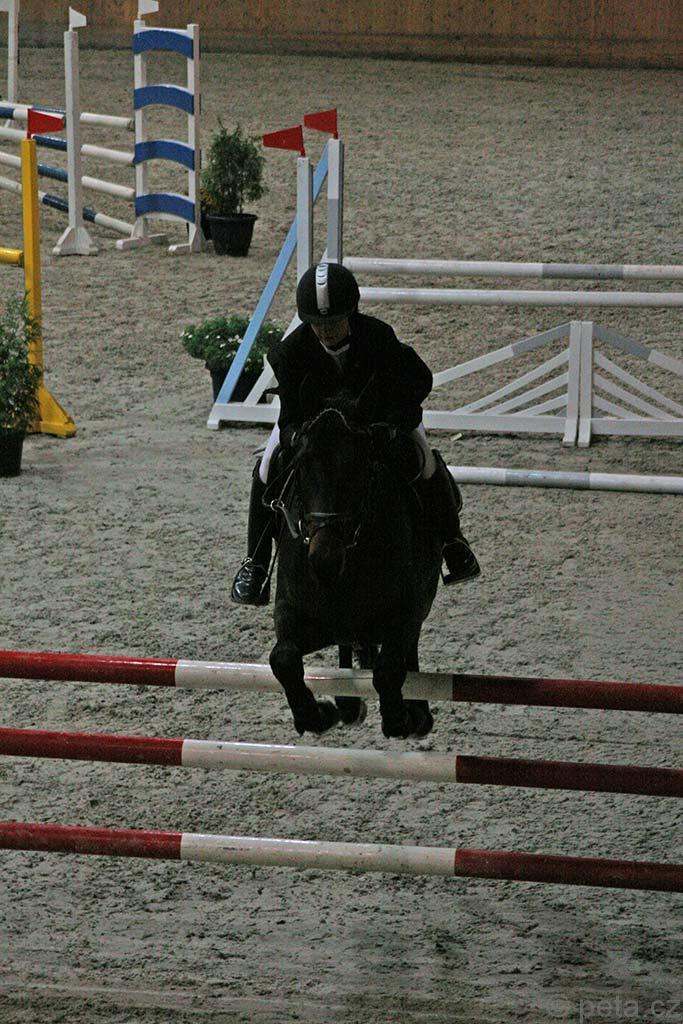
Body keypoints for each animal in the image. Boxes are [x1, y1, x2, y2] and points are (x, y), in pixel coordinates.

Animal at [266, 396, 443, 739]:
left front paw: (400, 718)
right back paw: (347, 706)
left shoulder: (406, 610)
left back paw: (415, 713)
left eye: (358, 467)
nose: (325, 560)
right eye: (301, 466)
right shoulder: (294, 610)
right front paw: (317, 715)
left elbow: (389, 666)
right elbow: (283, 658)